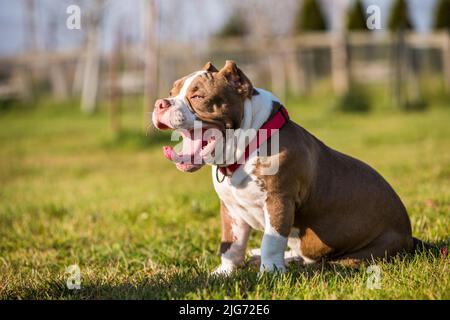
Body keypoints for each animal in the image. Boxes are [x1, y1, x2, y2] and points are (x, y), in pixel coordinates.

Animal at [152, 60, 418, 276]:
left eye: (198, 97)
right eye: (171, 92)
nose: (160, 103)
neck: (247, 147)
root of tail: (410, 237)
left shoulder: (279, 200)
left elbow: (272, 241)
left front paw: (270, 273)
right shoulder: (231, 209)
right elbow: (231, 245)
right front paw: (224, 272)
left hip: (367, 252)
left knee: (326, 262)